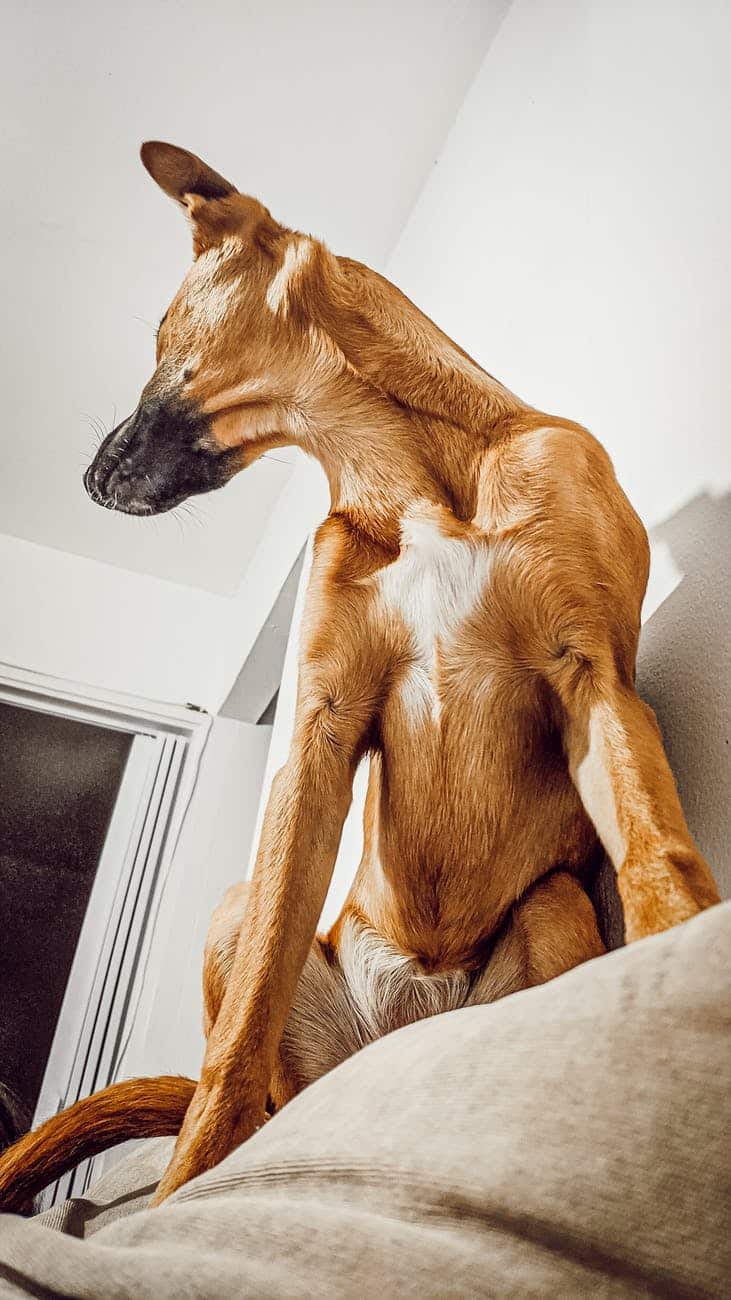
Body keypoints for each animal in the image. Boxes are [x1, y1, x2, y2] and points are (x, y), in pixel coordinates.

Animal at [0, 142, 717, 1206]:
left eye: (163, 333)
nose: (88, 482)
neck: (407, 471)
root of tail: (404, 1014)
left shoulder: (593, 685)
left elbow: (655, 853)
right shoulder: (320, 733)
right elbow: (239, 1033)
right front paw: (181, 1194)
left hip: (550, 906)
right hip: (242, 927)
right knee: (256, 1074)